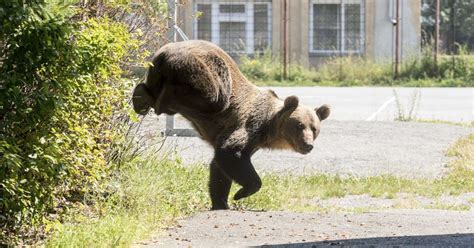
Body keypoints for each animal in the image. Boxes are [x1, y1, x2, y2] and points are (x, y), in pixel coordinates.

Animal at [131, 40, 328, 209]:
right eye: (299, 126)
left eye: (315, 129)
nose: (308, 145)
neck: (269, 128)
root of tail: (164, 53)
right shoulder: (250, 124)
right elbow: (230, 153)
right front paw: (240, 194)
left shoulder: (254, 142)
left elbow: (219, 169)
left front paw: (221, 201)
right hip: (203, 71)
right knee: (212, 95)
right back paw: (161, 99)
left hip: (156, 70)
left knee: (150, 88)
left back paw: (141, 97)